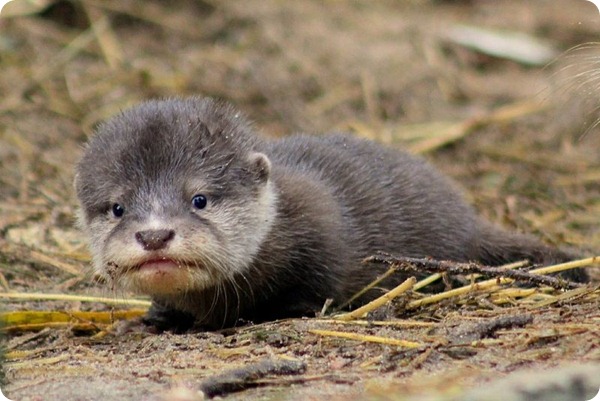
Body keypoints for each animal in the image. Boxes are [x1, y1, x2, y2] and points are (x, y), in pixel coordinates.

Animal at [74, 97, 584, 328]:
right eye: (117, 207)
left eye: (199, 199)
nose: (154, 235)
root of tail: (466, 217)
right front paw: (157, 317)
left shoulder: (322, 238)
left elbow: (318, 285)